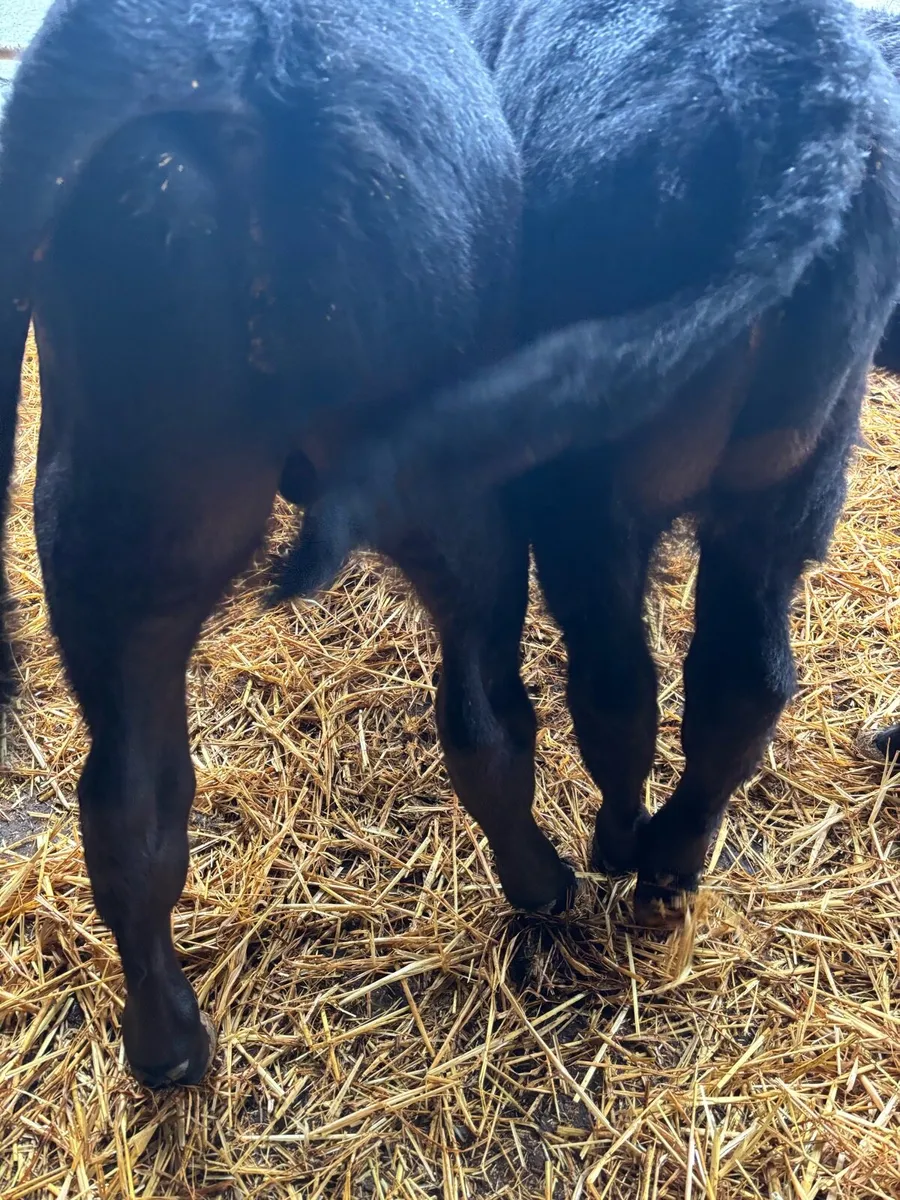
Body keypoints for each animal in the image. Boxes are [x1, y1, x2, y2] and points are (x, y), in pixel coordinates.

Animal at [0, 0, 521, 1086]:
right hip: (454, 483)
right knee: (481, 716)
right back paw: (549, 888)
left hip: (114, 529)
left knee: (127, 807)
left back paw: (164, 1045)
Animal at [279, 0, 900, 944]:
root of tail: (797, 81)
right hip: (794, 473)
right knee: (742, 684)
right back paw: (670, 862)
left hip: (588, 491)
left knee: (602, 687)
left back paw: (602, 852)